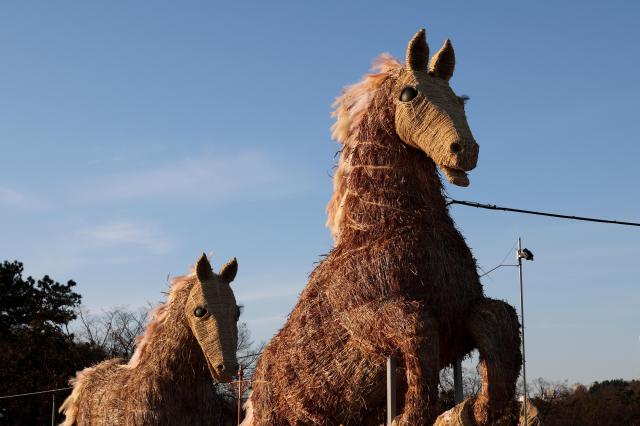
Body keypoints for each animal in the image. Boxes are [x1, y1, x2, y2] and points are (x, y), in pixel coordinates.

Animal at [243, 28, 522, 426]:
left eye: (460, 99)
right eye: (409, 94)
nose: (465, 150)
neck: (385, 228)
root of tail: (253, 393)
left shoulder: (461, 315)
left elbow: (499, 320)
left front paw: (481, 407)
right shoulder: (370, 318)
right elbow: (420, 329)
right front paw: (411, 415)